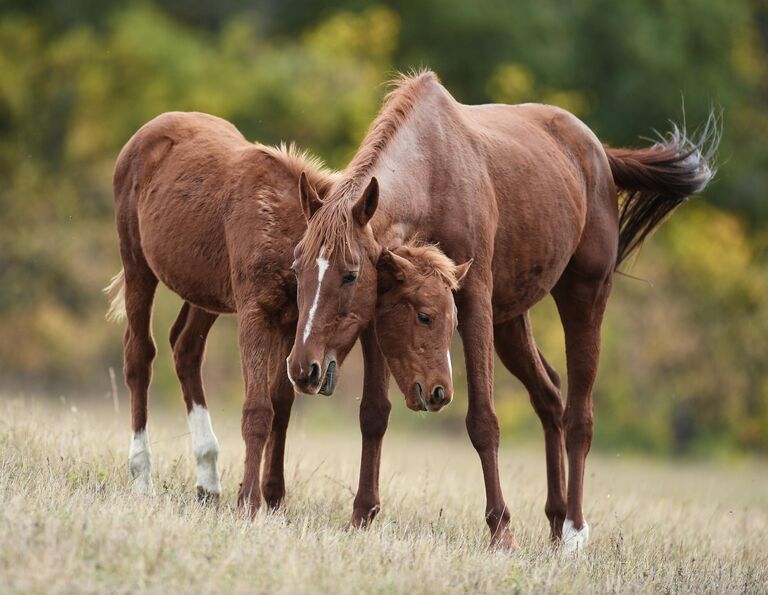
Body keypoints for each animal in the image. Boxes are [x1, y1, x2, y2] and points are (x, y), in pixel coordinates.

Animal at [104, 110, 464, 512]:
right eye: (424, 316)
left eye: (452, 321)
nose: (439, 391)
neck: (277, 223)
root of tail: (150, 131)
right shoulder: (256, 318)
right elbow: (258, 410)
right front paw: (249, 501)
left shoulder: (293, 330)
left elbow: (281, 403)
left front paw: (273, 496)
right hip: (138, 267)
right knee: (139, 356)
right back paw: (142, 474)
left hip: (205, 296)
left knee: (185, 349)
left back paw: (208, 478)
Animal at [288, 73, 720, 556]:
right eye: (297, 267)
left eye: (349, 274)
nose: (303, 368)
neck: (434, 170)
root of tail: (598, 153)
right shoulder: (375, 315)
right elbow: (373, 414)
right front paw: (361, 516)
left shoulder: (473, 300)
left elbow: (483, 421)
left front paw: (501, 531)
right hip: (511, 321)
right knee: (549, 395)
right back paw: (555, 521)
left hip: (585, 297)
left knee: (579, 416)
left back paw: (574, 532)